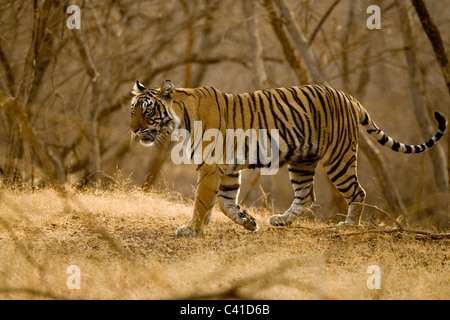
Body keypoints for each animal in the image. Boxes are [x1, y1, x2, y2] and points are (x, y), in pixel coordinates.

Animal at [130, 79, 446, 236]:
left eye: (148, 110)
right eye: (132, 110)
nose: (132, 130)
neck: (179, 120)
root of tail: (349, 97)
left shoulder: (210, 167)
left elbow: (203, 202)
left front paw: (191, 229)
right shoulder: (227, 169)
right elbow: (224, 203)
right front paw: (248, 221)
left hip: (339, 158)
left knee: (358, 191)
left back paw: (348, 226)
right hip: (302, 161)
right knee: (306, 195)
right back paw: (282, 220)